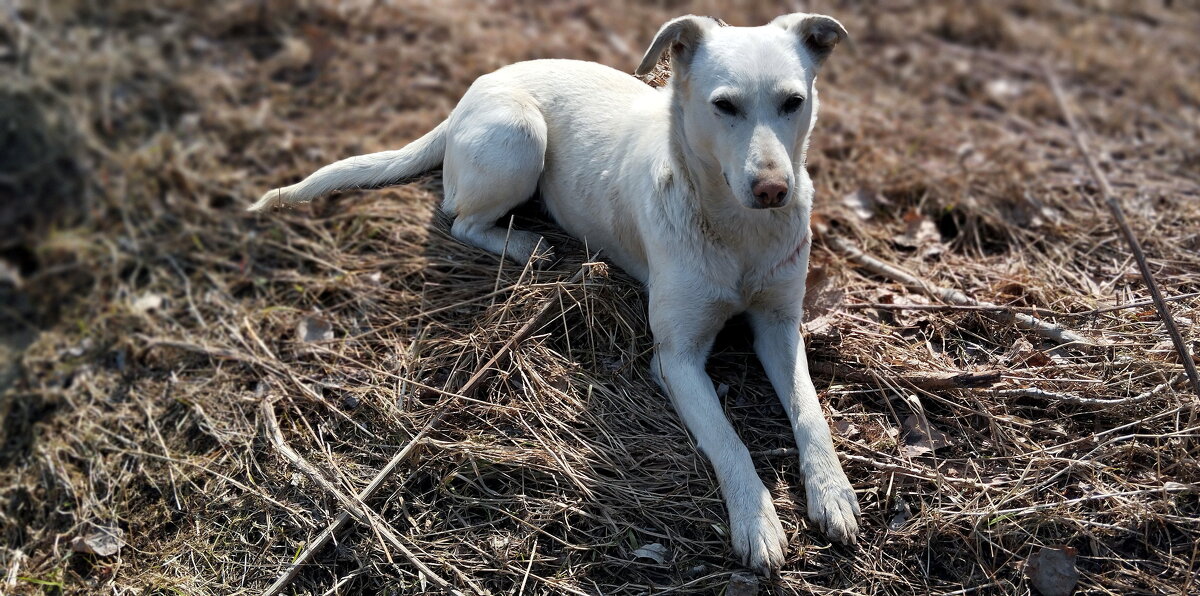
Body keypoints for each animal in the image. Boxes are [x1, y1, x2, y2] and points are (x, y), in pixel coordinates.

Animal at [250, 12, 854, 570]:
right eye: (724, 106)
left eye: (793, 102)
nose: (774, 189)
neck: (738, 231)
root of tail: (478, 86)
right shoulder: (676, 358)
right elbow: (729, 441)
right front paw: (757, 518)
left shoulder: (780, 326)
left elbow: (809, 411)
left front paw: (833, 492)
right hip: (520, 138)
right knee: (460, 219)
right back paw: (526, 246)